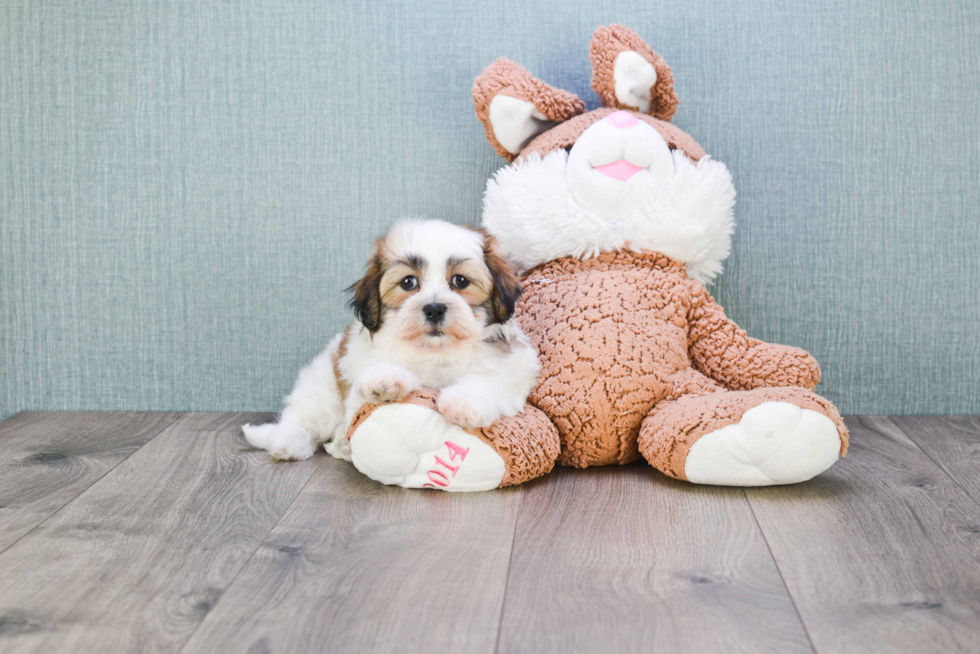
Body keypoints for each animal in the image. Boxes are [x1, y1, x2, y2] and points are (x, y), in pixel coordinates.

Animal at [242, 219, 540, 462]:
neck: (436, 350)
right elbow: (377, 367)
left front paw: (464, 403)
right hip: (321, 388)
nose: (434, 308)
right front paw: (385, 381)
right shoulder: (360, 356)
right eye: (408, 283)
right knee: (303, 419)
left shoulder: (514, 365)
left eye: (460, 281)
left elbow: (489, 378)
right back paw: (289, 444)